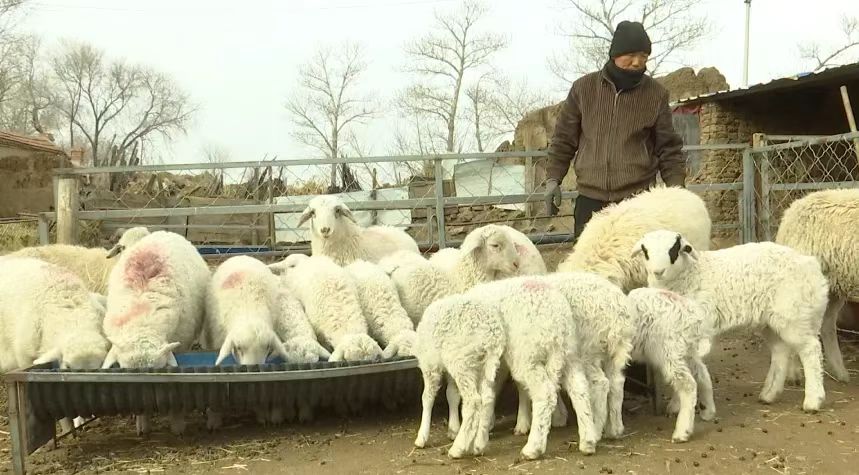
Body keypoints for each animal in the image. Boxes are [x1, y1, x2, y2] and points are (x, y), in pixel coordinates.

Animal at [413, 294, 505, 458]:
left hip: (461, 361)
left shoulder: (430, 364)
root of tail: (490, 335)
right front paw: (453, 428)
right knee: (487, 398)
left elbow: (427, 398)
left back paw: (458, 448)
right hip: (486, 364)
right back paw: (479, 444)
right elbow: (452, 394)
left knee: (473, 401)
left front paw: (422, 437)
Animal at [626, 287, 716, 443]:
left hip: (669, 350)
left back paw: (682, 432)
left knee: (688, 384)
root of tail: (689, 309)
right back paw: (708, 411)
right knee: (702, 372)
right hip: (685, 350)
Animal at [631, 230, 830, 412]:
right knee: (780, 351)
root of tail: (812, 266)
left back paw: (813, 400)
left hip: (794, 314)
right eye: (645, 251)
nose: (658, 272)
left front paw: (677, 404)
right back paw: (769, 394)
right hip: (772, 320)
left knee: (810, 349)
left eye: (673, 249)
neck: (690, 274)